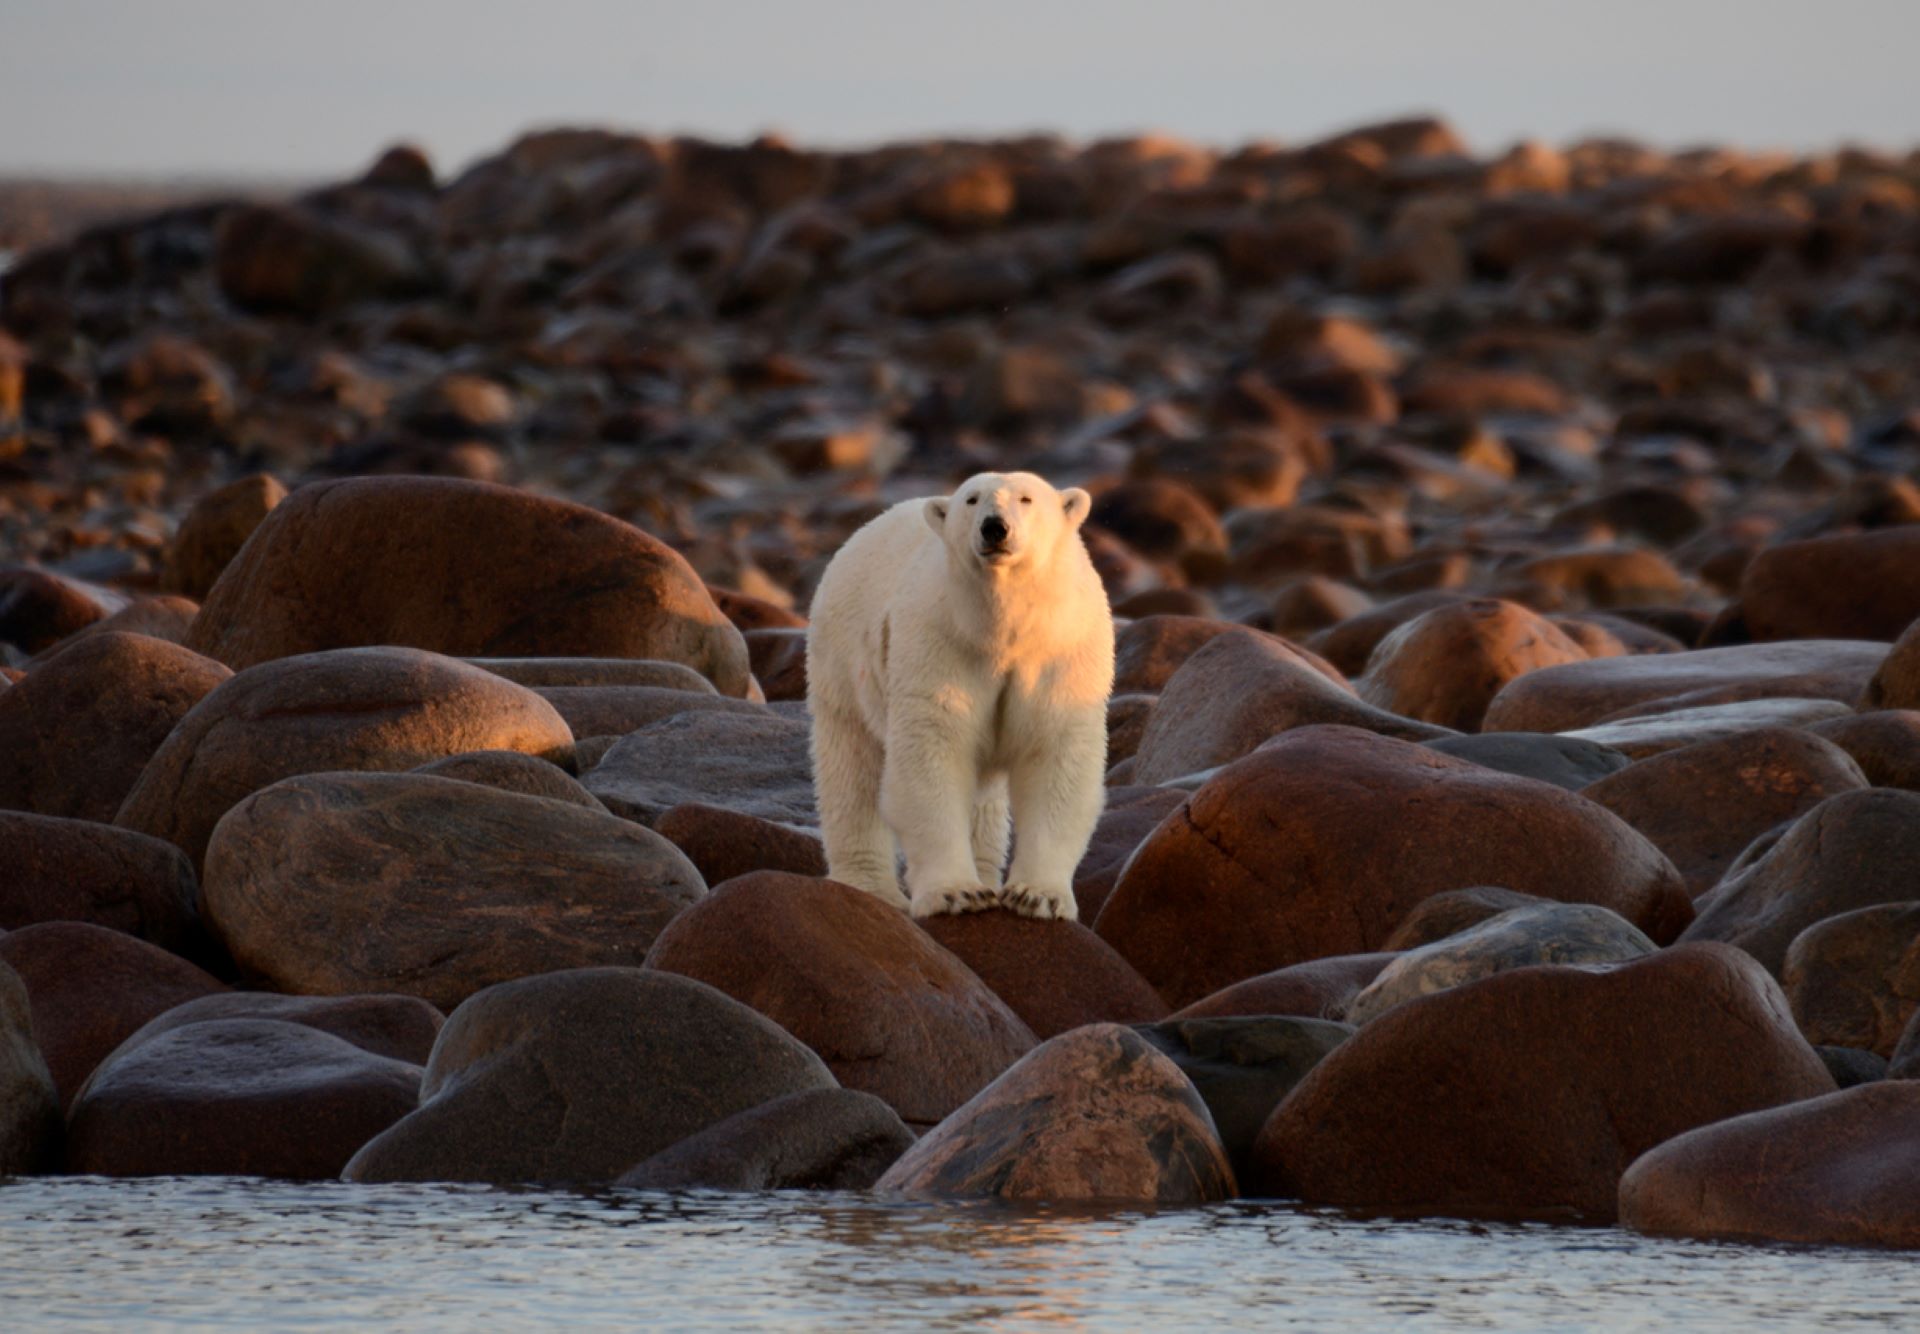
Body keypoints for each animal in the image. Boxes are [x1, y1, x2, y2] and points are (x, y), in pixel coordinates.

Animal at [806, 474, 1113, 925]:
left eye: (1026, 498)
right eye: (972, 499)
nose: (994, 527)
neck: (999, 631)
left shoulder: (1062, 651)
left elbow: (1056, 756)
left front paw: (1037, 897)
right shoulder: (940, 642)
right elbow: (933, 753)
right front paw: (957, 894)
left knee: (983, 798)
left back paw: (985, 872)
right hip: (842, 660)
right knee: (851, 766)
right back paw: (870, 887)